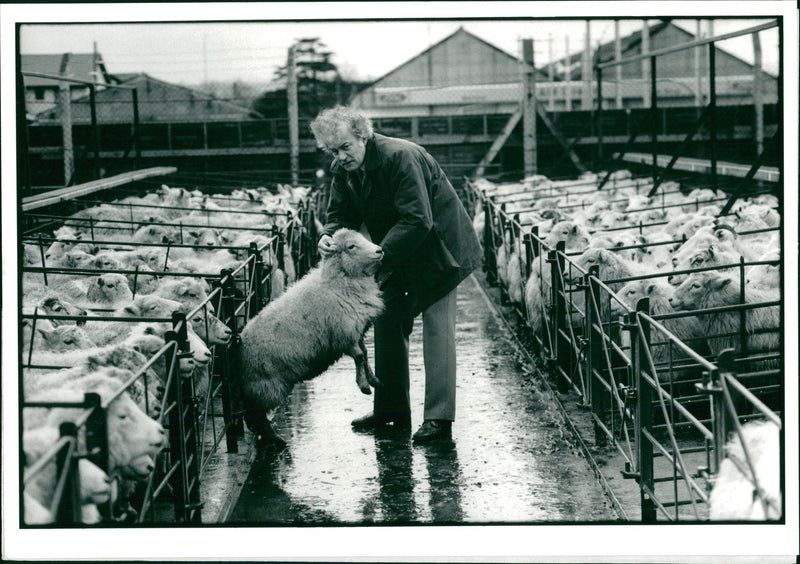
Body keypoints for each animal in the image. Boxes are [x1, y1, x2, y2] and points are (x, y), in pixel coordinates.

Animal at [238, 228, 384, 446]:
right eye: (351, 246)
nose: (379, 250)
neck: (338, 281)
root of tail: (239, 343)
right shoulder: (343, 335)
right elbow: (359, 357)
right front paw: (364, 386)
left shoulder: (355, 331)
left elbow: (365, 355)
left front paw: (373, 379)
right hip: (263, 383)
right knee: (255, 414)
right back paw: (275, 438)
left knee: (254, 416)